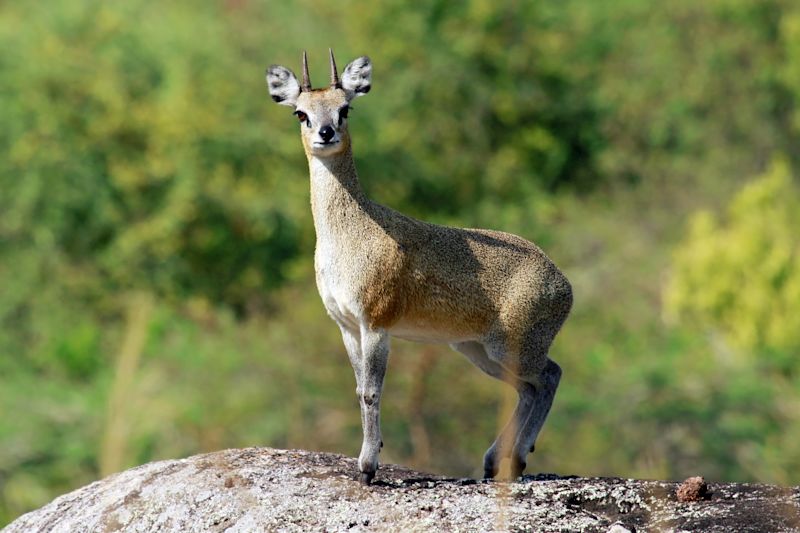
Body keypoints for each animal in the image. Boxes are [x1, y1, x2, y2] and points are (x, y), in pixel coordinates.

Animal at [266, 51, 572, 486]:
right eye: (300, 113)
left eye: (345, 108)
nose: (325, 133)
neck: (350, 235)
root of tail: (562, 282)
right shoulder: (347, 326)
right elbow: (358, 389)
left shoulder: (376, 324)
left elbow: (371, 392)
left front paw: (367, 467)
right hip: (476, 349)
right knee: (528, 389)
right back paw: (494, 461)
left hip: (513, 346)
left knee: (550, 375)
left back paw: (517, 459)